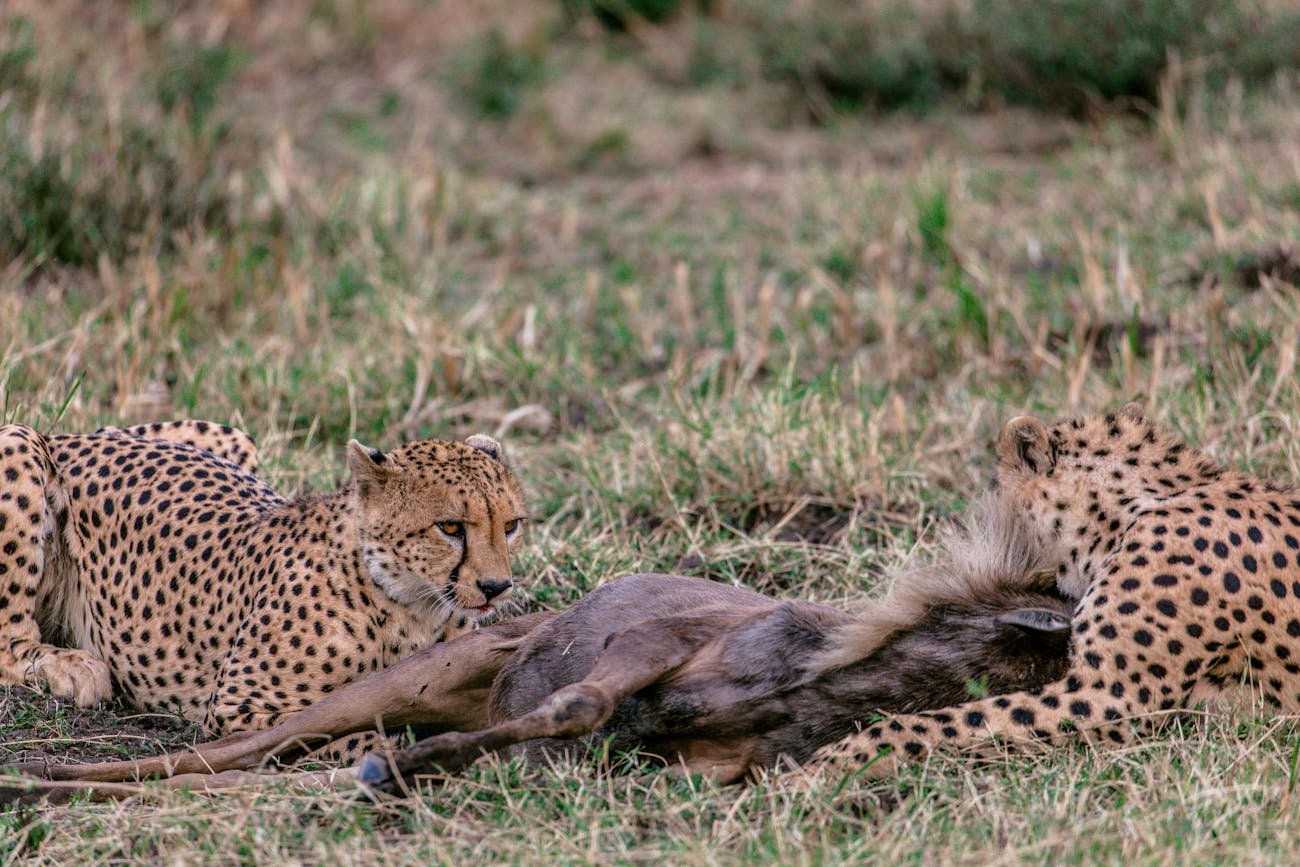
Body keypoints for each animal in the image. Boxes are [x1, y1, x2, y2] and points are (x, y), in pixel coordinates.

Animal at [0, 493, 1076, 800]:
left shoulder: (702, 765)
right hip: (401, 678)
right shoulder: (651, 638)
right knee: (222, 752)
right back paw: (45, 779)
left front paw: (407, 769)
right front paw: (407, 768)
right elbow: (581, 701)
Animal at [1, 421, 527, 738]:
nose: (496, 588)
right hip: (18, 441)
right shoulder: (236, 708)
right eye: (451, 527)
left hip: (232, 436)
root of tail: (74, 436)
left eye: (511, 526)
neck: (408, 606)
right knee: (10, 641)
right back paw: (71, 668)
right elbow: (348, 730)